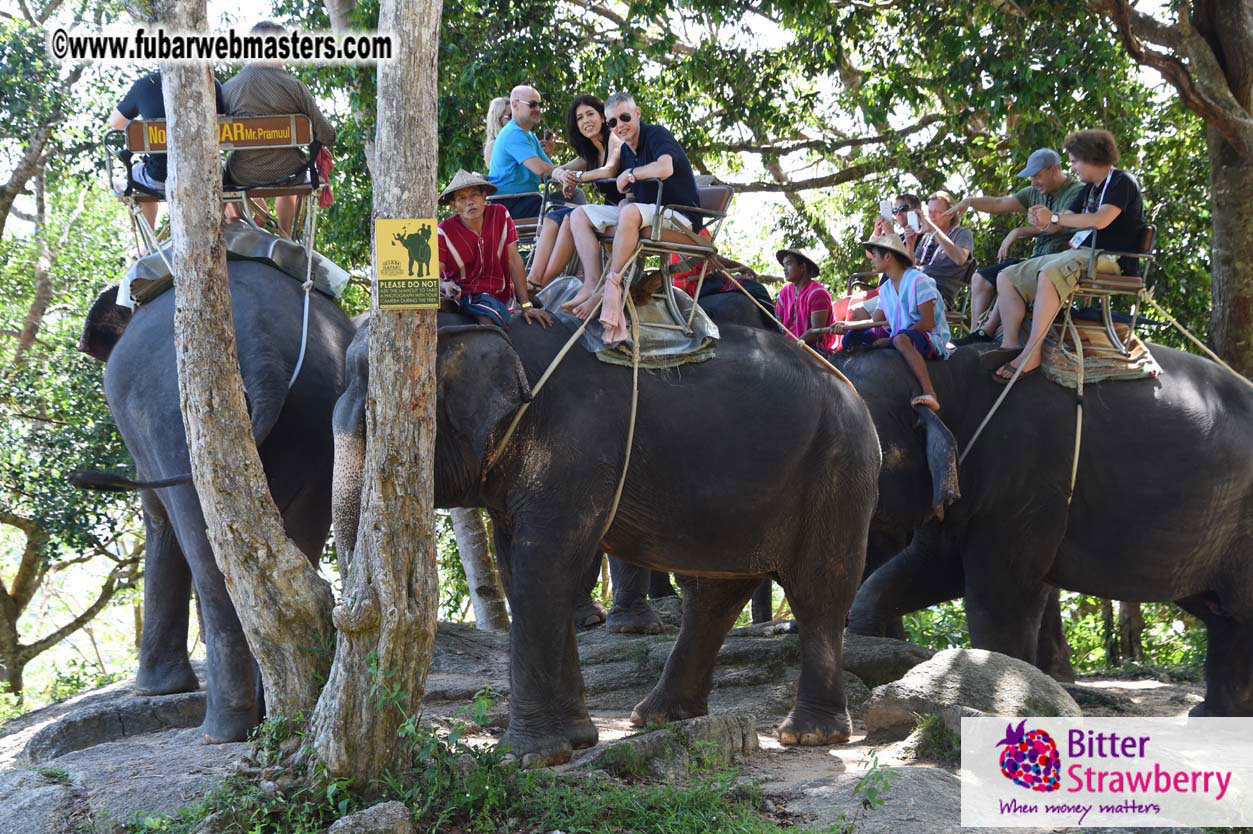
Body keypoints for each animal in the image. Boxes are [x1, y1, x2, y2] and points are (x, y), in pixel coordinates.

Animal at [76, 261, 355, 741]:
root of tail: (263, 349)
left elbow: (159, 522)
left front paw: (154, 691)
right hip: (320, 415)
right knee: (298, 548)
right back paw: (268, 712)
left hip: (174, 417)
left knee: (208, 556)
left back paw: (222, 730)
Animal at [333, 310, 881, 763]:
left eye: (377, 421)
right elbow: (520, 569)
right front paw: (577, 741)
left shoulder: (574, 447)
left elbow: (545, 564)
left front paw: (525, 758)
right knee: (715, 593)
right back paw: (657, 716)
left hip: (838, 470)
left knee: (817, 590)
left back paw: (807, 735)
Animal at [836, 342, 1253, 715]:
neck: (941, 374)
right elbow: (929, 569)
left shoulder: (1027, 480)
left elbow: (1002, 593)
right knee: (1220, 613)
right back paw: (1213, 716)